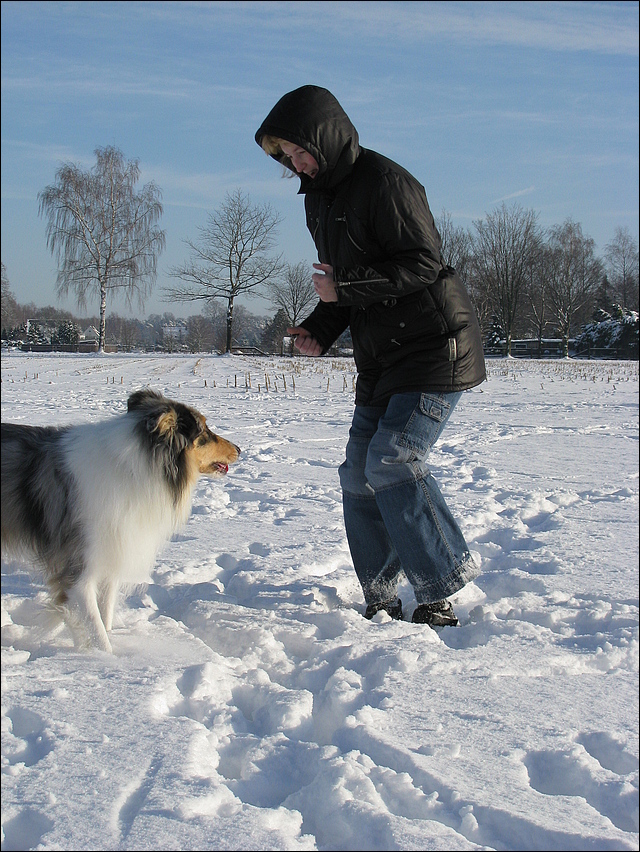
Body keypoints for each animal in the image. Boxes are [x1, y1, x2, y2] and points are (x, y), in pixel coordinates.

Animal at [0, 390, 240, 656]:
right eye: (204, 432)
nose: (239, 449)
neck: (135, 470)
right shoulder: (76, 572)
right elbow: (96, 631)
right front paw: (109, 660)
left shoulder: (110, 557)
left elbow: (104, 616)